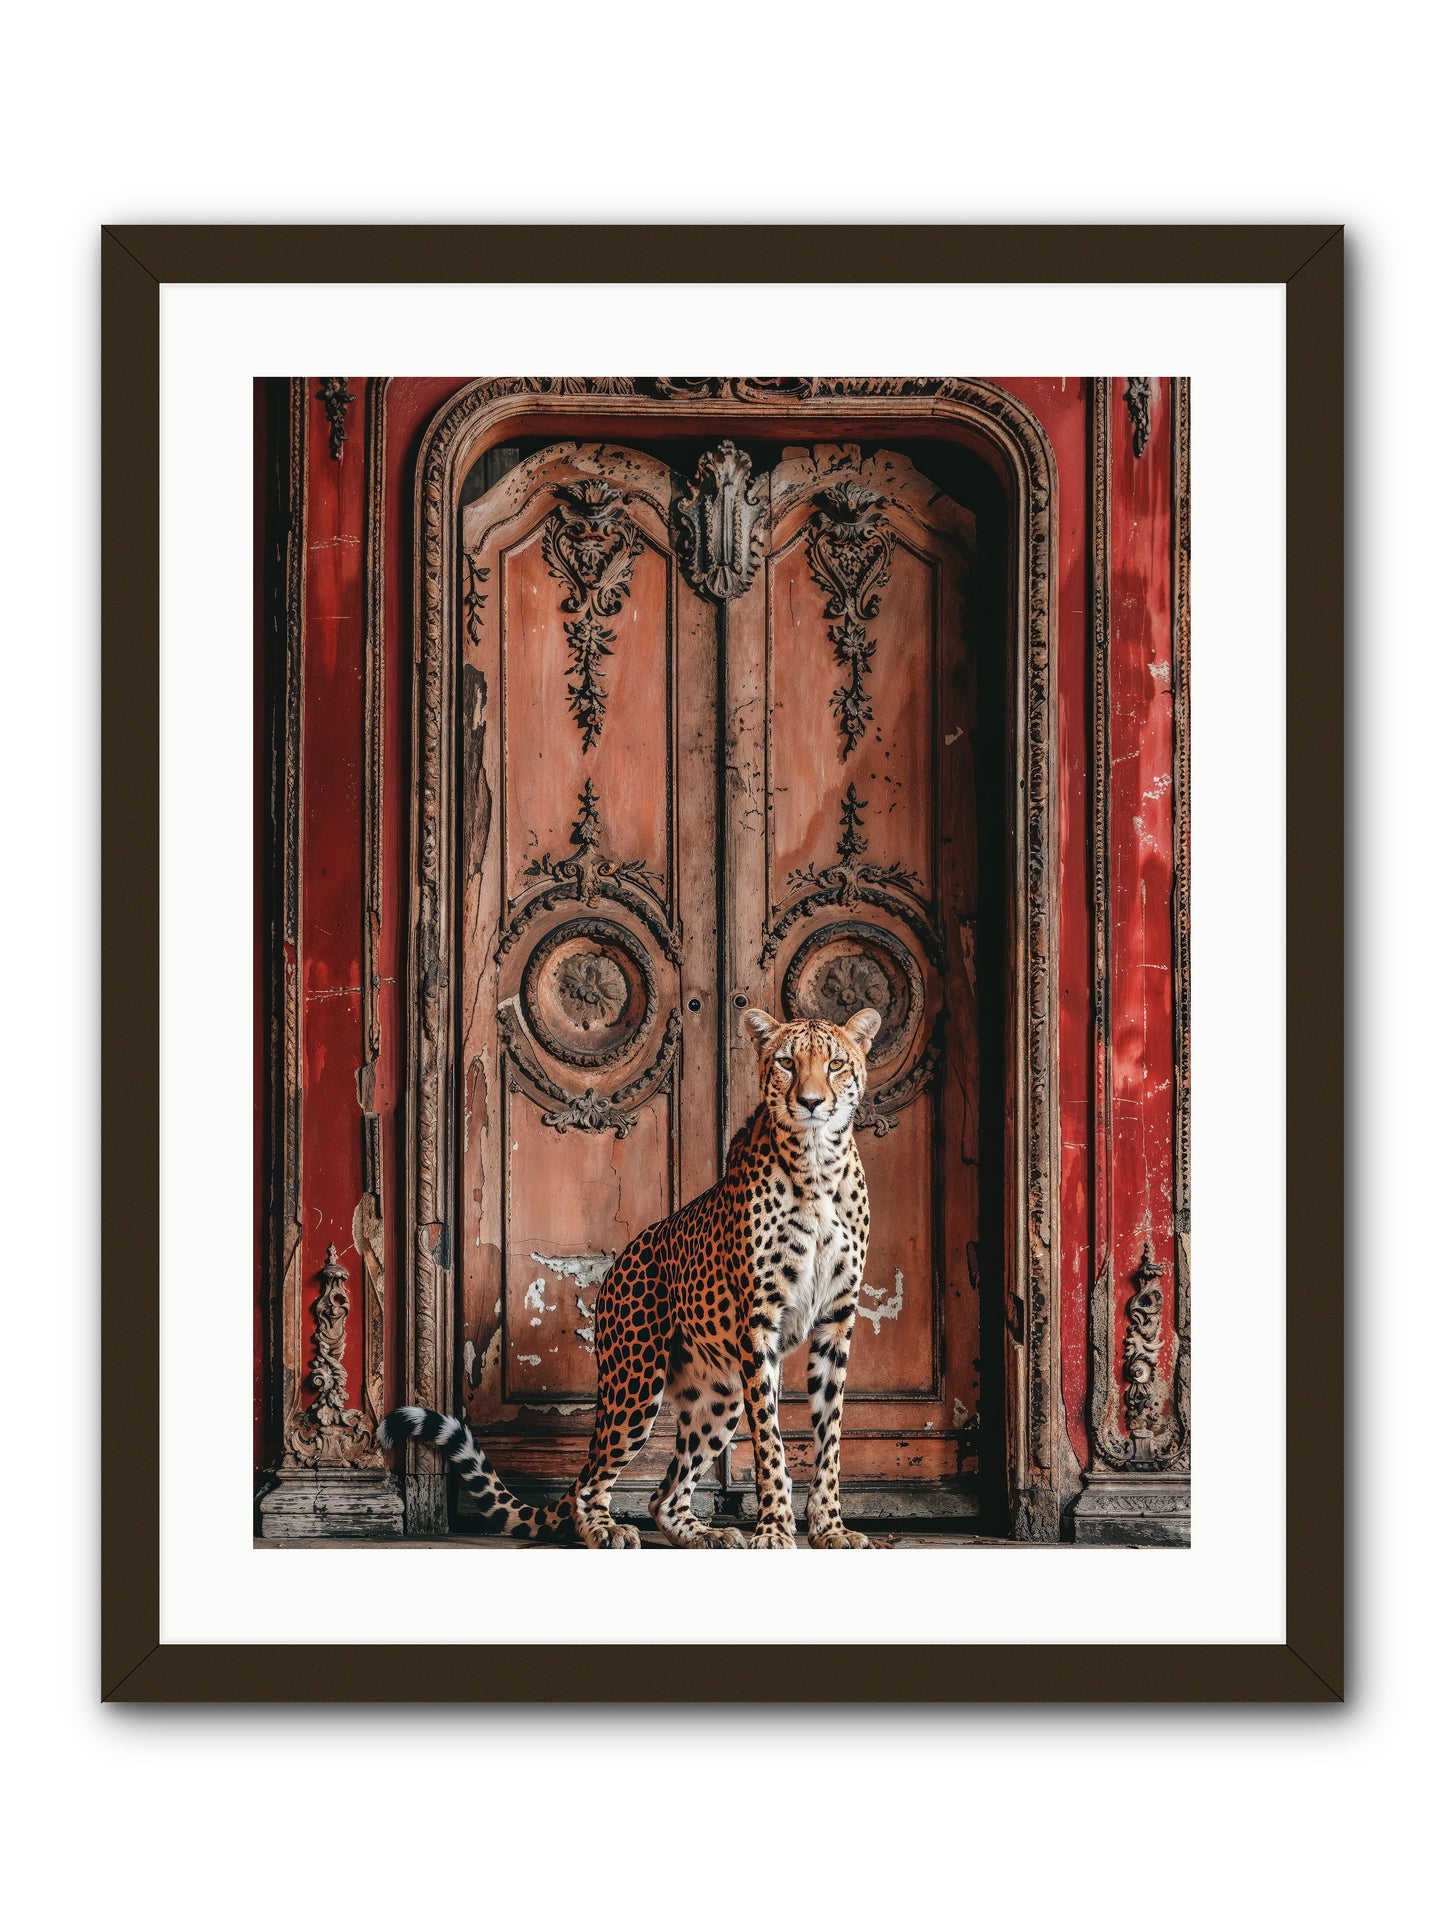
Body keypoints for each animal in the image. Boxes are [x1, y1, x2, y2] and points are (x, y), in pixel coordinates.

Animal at [380, 1002, 882, 1549]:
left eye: (835, 1064)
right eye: (788, 1063)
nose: (811, 1102)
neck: (817, 1166)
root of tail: (620, 1260)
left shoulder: (836, 1321)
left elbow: (829, 1437)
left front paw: (830, 1528)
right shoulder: (760, 1324)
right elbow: (771, 1440)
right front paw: (773, 1530)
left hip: (720, 1395)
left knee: (663, 1496)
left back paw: (706, 1534)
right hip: (637, 1383)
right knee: (592, 1482)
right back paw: (607, 1529)